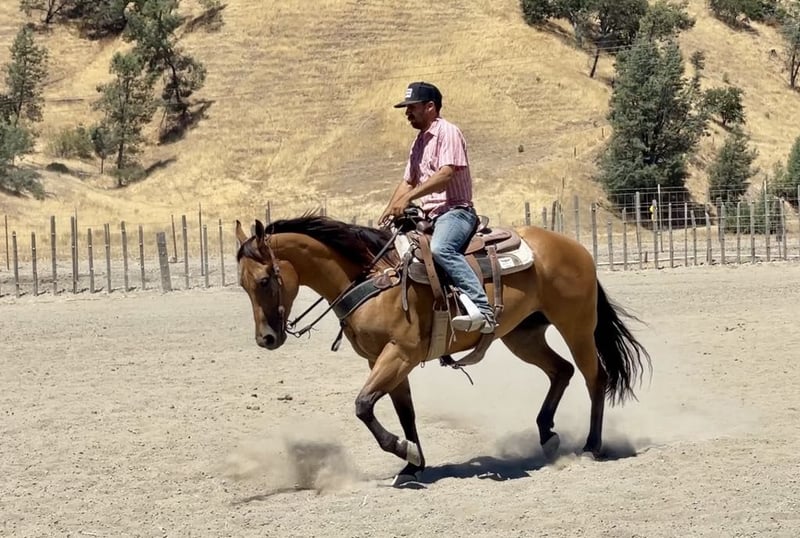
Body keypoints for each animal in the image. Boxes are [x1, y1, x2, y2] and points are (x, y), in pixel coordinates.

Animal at [234, 213, 651, 485]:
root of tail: (575, 247)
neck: (373, 277)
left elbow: (363, 405)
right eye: (242, 284)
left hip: (576, 326)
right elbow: (404, 413)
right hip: (523, 336)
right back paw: (547, 433)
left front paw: (404, 451)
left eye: (266, 279)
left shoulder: (399, 354)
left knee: (595, 377)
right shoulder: (382, 360)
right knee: (561, 370)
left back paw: (592, 446)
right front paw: (413, 463)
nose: (266, 338)